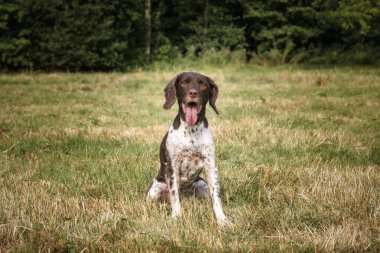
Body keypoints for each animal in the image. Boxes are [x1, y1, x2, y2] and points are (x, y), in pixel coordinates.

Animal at [145, 71, 229, 227]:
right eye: (184, 83)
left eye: (203, 84)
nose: (193, 93)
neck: (191, 131)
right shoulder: (172, 167)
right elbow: (174, 196)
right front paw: (176, 217)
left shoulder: (210, 166)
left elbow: (216, 197)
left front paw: (222, 220)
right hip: (154, 191)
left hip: (202, 186)